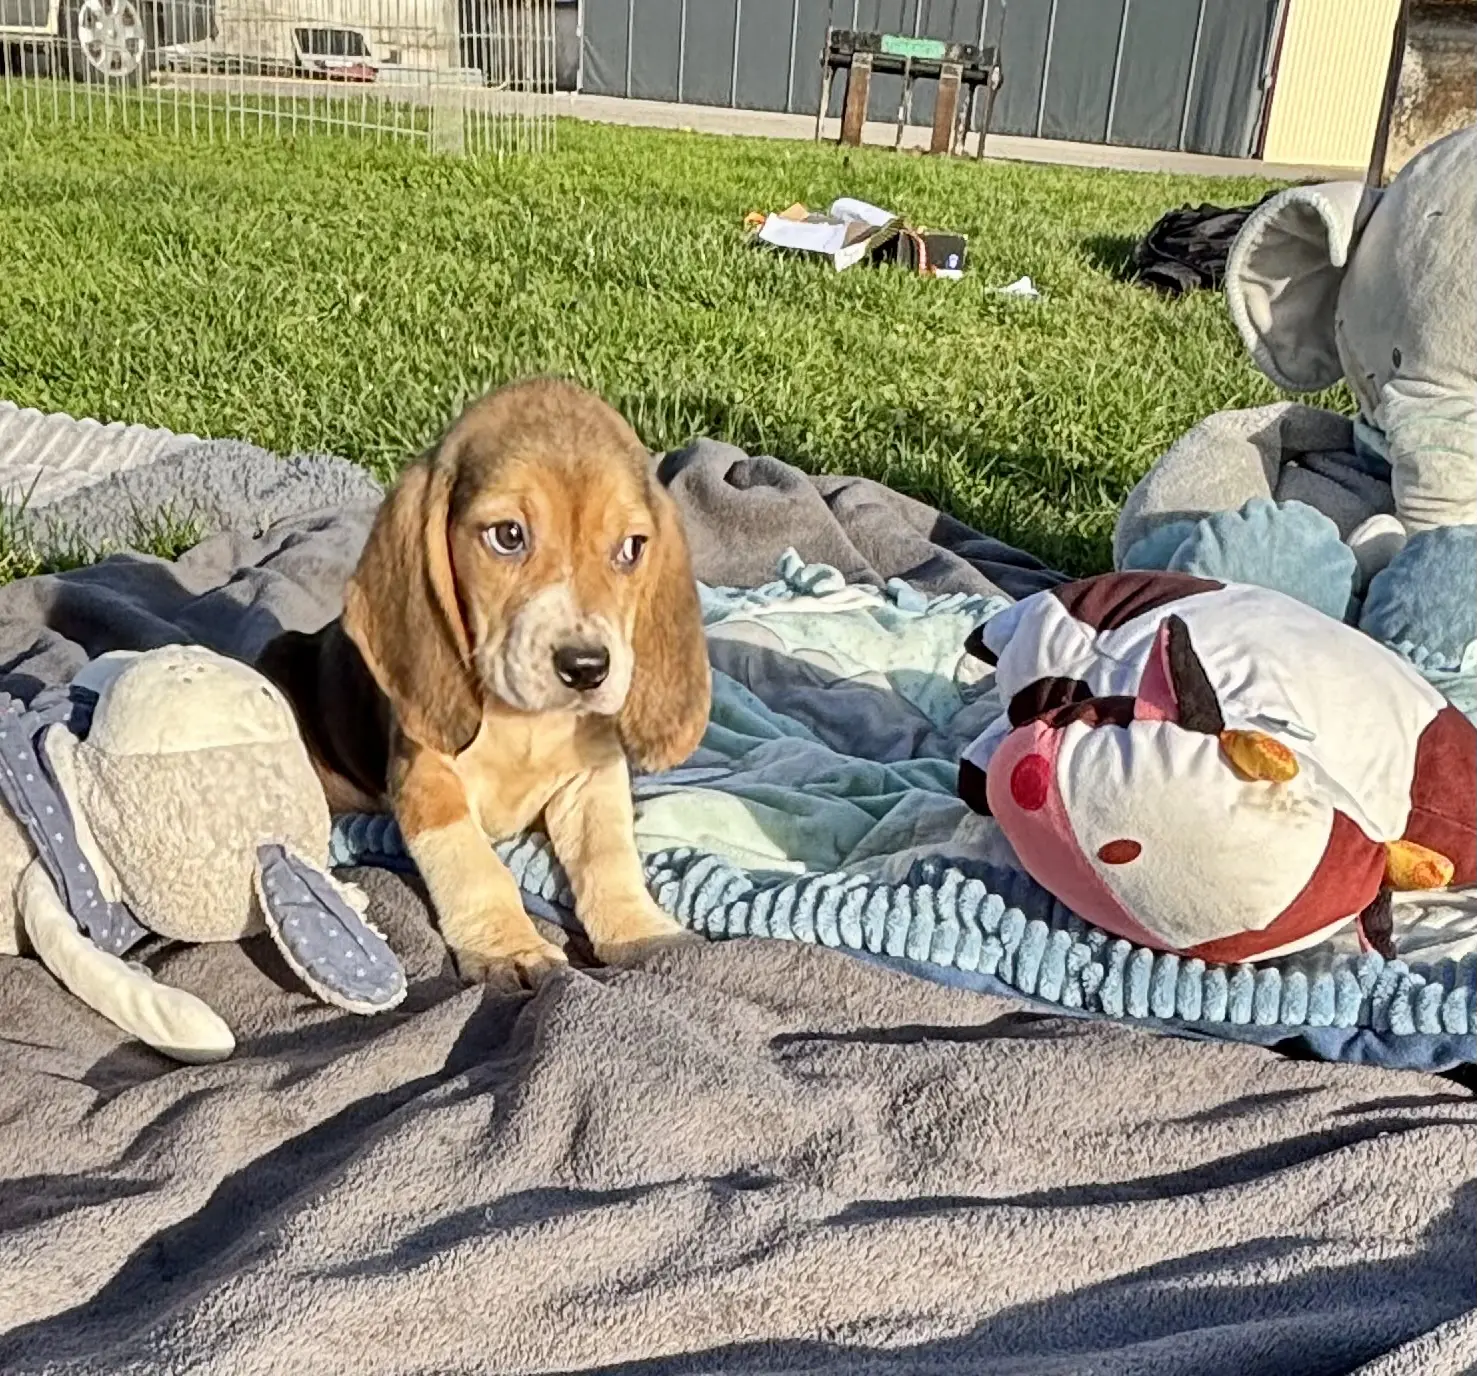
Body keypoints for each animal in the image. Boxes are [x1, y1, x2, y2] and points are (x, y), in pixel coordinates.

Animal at [259, 378, 711, 986]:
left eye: (632, 548)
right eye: (508, 536)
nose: (587, 668)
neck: (524, 722)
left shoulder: (592, 779)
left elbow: (609, 856)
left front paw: (639, 930)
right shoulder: (427, 778)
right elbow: (475, 864)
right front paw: (510, 948)